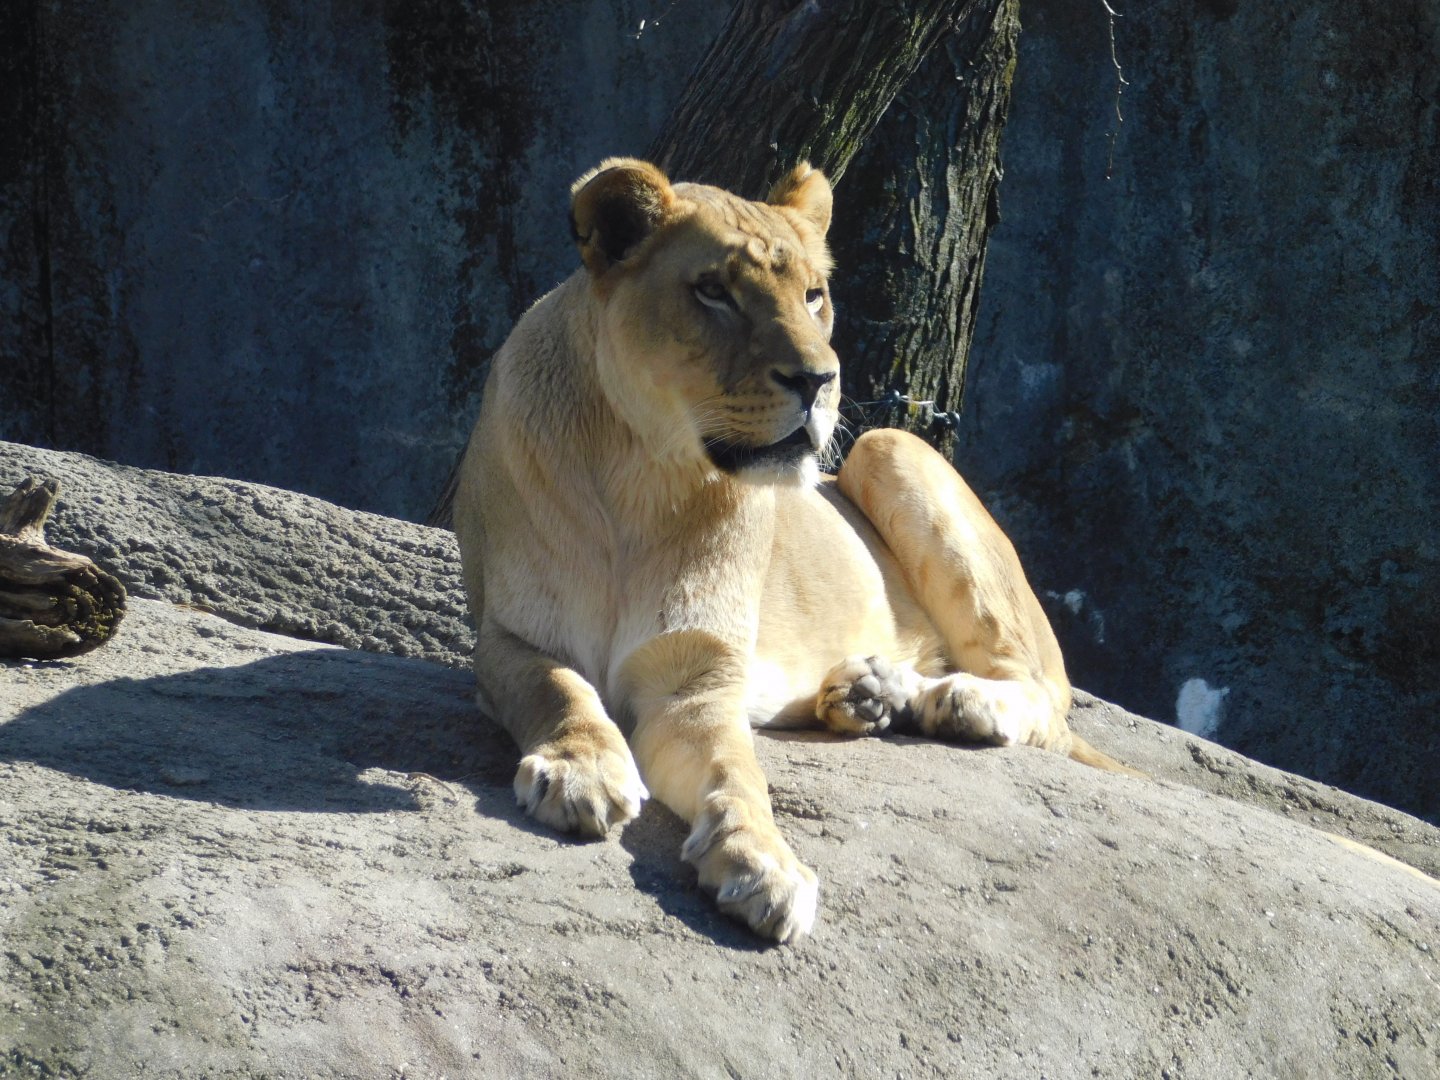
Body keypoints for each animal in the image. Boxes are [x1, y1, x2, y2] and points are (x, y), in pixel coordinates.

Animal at [452, 157, 1134, 944]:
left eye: (814, 296)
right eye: (713, 291)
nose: (818, 381)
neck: (643, 474)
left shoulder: (698, 679)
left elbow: (738, 773)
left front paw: (765, 864)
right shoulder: (507, 636)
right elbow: (556, 686)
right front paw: (581, 769)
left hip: (888, 446)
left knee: (1046, 698)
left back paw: (955, 702)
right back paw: (871, 694)